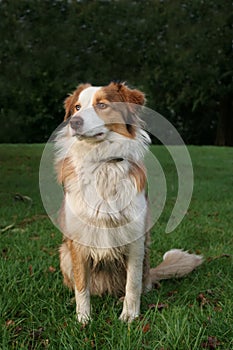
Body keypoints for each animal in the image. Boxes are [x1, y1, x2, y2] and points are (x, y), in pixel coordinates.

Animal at [54, 82, 202, 322]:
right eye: (77, 107)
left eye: (102, 105)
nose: (74, 122)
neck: (104, 162)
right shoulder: (79, 240)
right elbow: (81, 285)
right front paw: (83, 319)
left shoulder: (135, 239)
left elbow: (132, 284)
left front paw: (129, 316)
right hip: (64, 253)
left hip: (145, 259)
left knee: (139, 284)